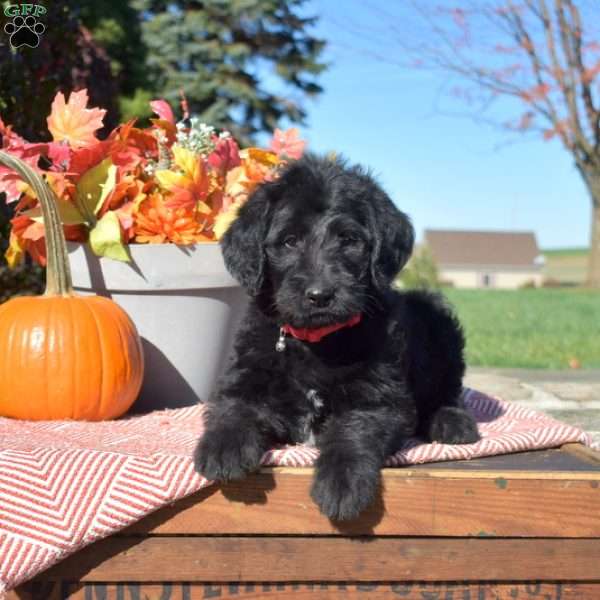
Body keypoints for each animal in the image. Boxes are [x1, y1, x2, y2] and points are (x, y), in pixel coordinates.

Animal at [195, 155, 480, 520]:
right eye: (289, 241)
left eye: (349, 240)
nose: (320, 296)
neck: (316, 341)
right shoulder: (244, 374)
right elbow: (233, 406)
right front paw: (222, 447)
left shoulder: (379, 397)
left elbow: (353, 429)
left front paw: (342, 483)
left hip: (439, 325)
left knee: (449, 390)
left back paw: (452, 422)